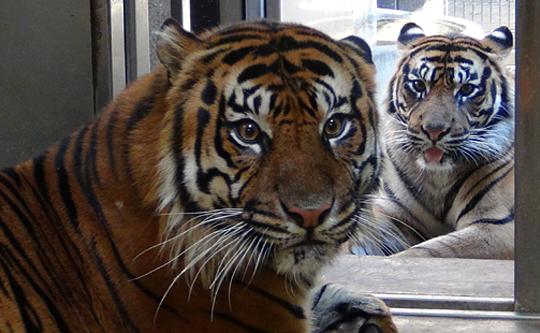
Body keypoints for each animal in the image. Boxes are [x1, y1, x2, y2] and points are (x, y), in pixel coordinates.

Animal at [358, 22, 516, 260]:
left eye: (467, 89)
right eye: (418, 85)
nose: (433, 131)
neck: (437, 178)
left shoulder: (496, 225)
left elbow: (426, 252)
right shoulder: (395, 213)